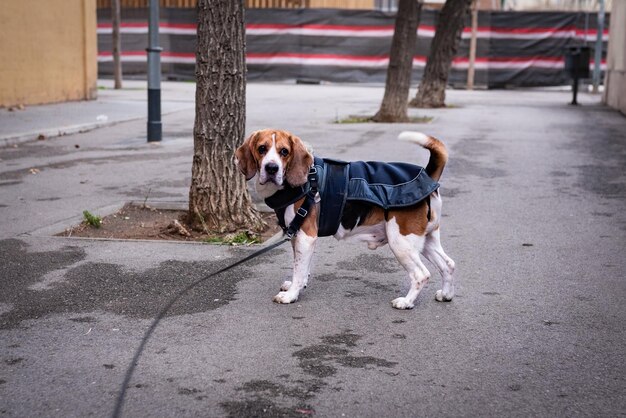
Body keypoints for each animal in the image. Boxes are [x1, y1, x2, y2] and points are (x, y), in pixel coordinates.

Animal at [234, 129, 454, 308]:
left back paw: (406, 302)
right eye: (262, 149)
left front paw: (291, 295)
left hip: (401, 242)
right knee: (448, 264)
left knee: (421, 274)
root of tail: (427, 175)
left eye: (284, 152)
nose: (271, 168)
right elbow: (301, 266)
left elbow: (299, 268)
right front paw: (299, 284)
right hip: (425, 240)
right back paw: (446, 294)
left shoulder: (306, 236)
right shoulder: (298, 237)